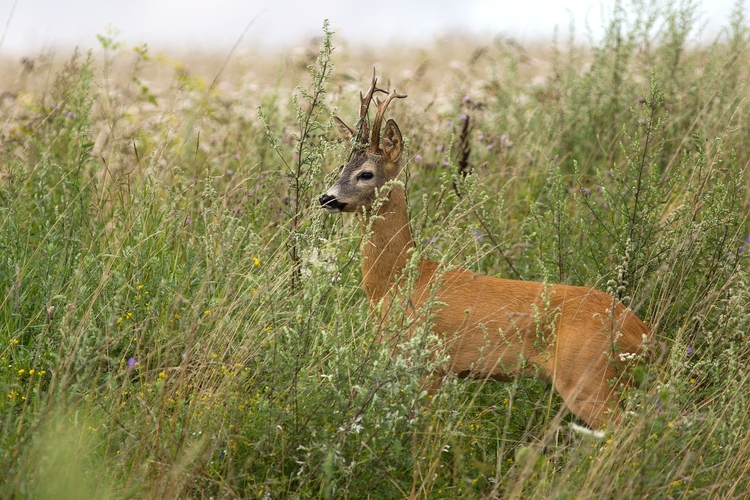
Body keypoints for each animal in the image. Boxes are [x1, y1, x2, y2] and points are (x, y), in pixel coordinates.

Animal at [320, 71, 656, 430]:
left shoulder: (429, 363)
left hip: (587, 377)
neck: (398, 280)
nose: (325, 198)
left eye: (366, 173)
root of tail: (643, 334)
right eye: (341, 167)